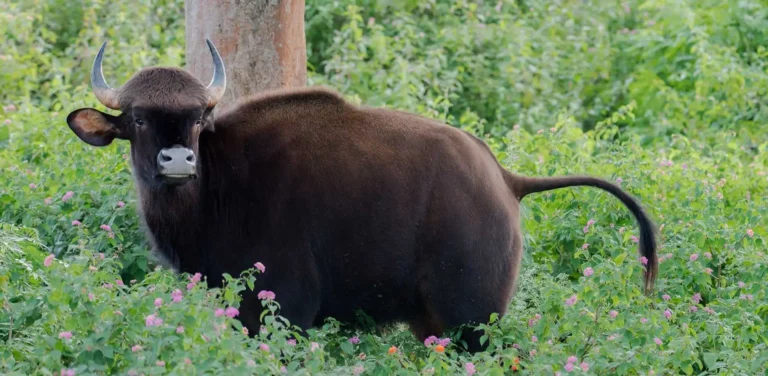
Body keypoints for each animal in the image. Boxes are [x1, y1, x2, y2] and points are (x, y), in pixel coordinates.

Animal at [66, 40, 656, 352]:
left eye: (195, 119)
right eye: (139, 118)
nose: (178, 163)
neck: (218, 188)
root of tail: (506, 180)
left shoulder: (284, 311)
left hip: (473, 320)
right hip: (433, 324)